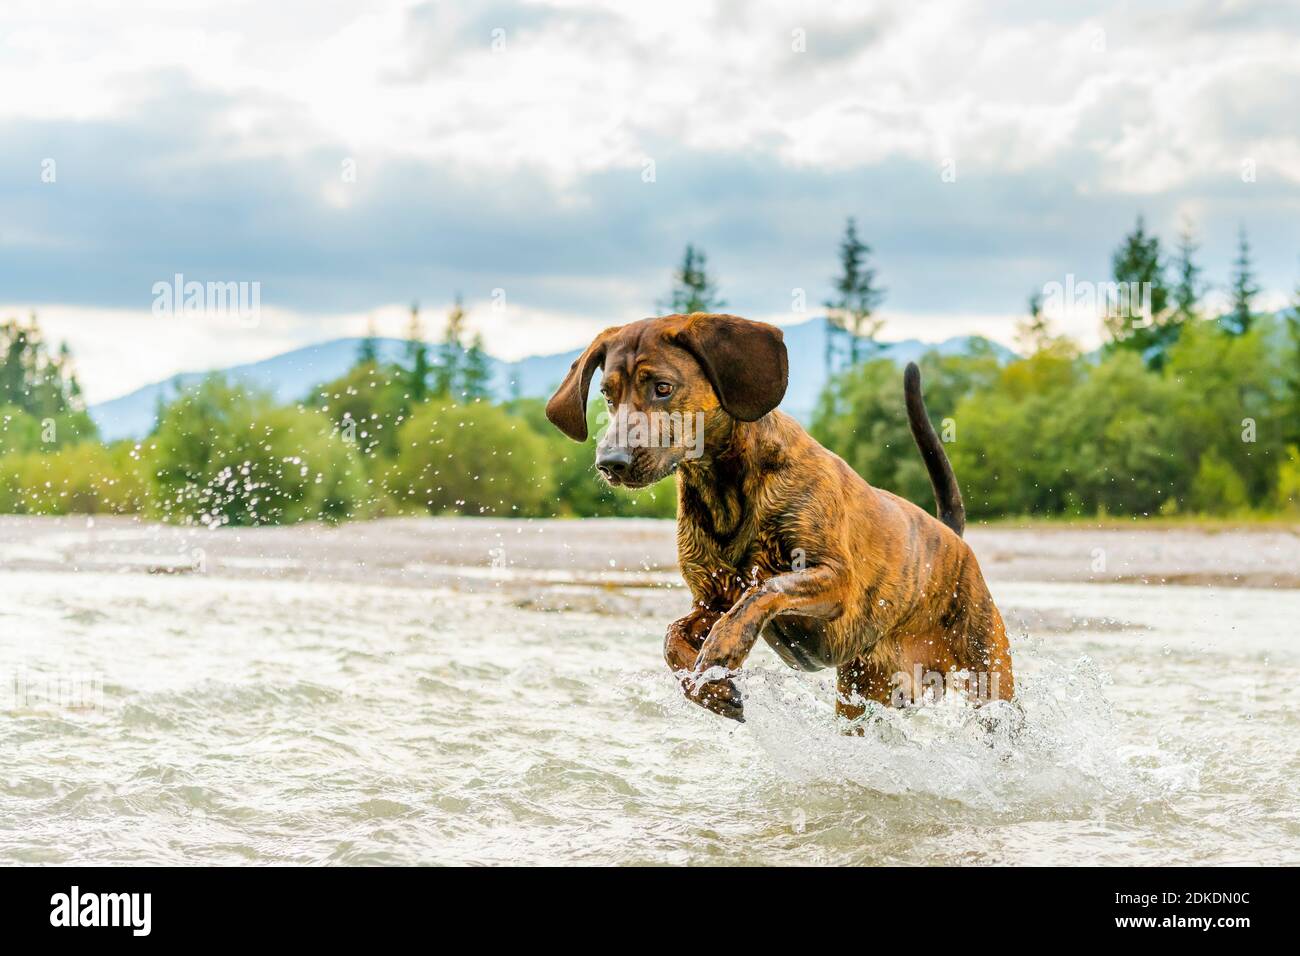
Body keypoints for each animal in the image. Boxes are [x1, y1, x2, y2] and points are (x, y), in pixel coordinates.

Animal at [543, 314, 1008, 723]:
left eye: (662, 388)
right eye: (607, 394)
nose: (610, 463)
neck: (722, 485)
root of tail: (951, 535)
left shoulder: (836, 579)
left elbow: (766, 590)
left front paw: (723, 648)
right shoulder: (710, 599)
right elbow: (672, 636)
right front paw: (710, 688)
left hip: (989, 677)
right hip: (862, 694)